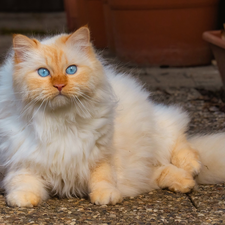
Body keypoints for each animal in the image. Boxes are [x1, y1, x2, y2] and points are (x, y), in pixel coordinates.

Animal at [0, 26, 225, 207]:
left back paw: (191, 168)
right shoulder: (23, 163)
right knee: (162, 169)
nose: (60, 85)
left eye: (71, 70)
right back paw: (185, 183)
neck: (60, 121)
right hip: (141, 168)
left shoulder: (100, 154)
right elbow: (23, 183)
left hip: (160, 130)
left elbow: (103, 178)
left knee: (180, 137)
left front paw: (106, 198)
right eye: (43, 73)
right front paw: (22, 201)